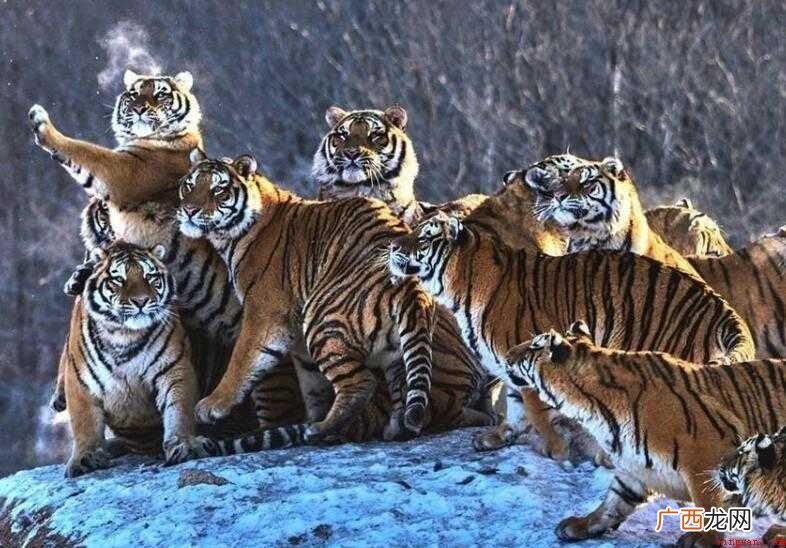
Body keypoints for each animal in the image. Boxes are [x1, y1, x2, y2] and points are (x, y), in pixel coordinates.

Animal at [30, 70, 303, 432]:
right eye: (134, 94)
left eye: (160, 94)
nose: (141, 109)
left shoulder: (125, 172)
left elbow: (87, 152)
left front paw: (41, 124)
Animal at [63, 241, 212, 477]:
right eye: (118, 279)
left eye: (150, 277)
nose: (141, 301)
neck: (123, 335)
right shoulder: (80, 380)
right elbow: (83, 422)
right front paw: (85, 457)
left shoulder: (174, 369)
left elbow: (180, 409)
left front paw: (186, 444)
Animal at [177, 151, 440, 443]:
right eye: (189, 186)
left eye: (218, 190)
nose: (189, 210)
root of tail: (411, 286)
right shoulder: (298, 340)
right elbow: (312, 383)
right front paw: (312, 415)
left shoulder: (264, 312)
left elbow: (241, 359)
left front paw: (212, 406)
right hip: (394, 349)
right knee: (401, 383)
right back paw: (394, 429)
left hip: (322, 317)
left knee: (361, 383)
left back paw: (320, 430)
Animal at [386, 211, 755, 463]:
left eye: (423, 238)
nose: (391, 245)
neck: (457, 287)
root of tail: (724, 309)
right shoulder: (511, 367)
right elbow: (516, 407)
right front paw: (499, 437)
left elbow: (535, 409)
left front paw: (556, 448)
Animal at [504, 322, 786, 547]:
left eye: (532, 347)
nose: (506, 355)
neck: (591, 410)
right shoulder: (635, 466)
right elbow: (613, 502)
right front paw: (583, 524)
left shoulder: (706, 455)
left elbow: (710, 502)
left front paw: (703, 539)